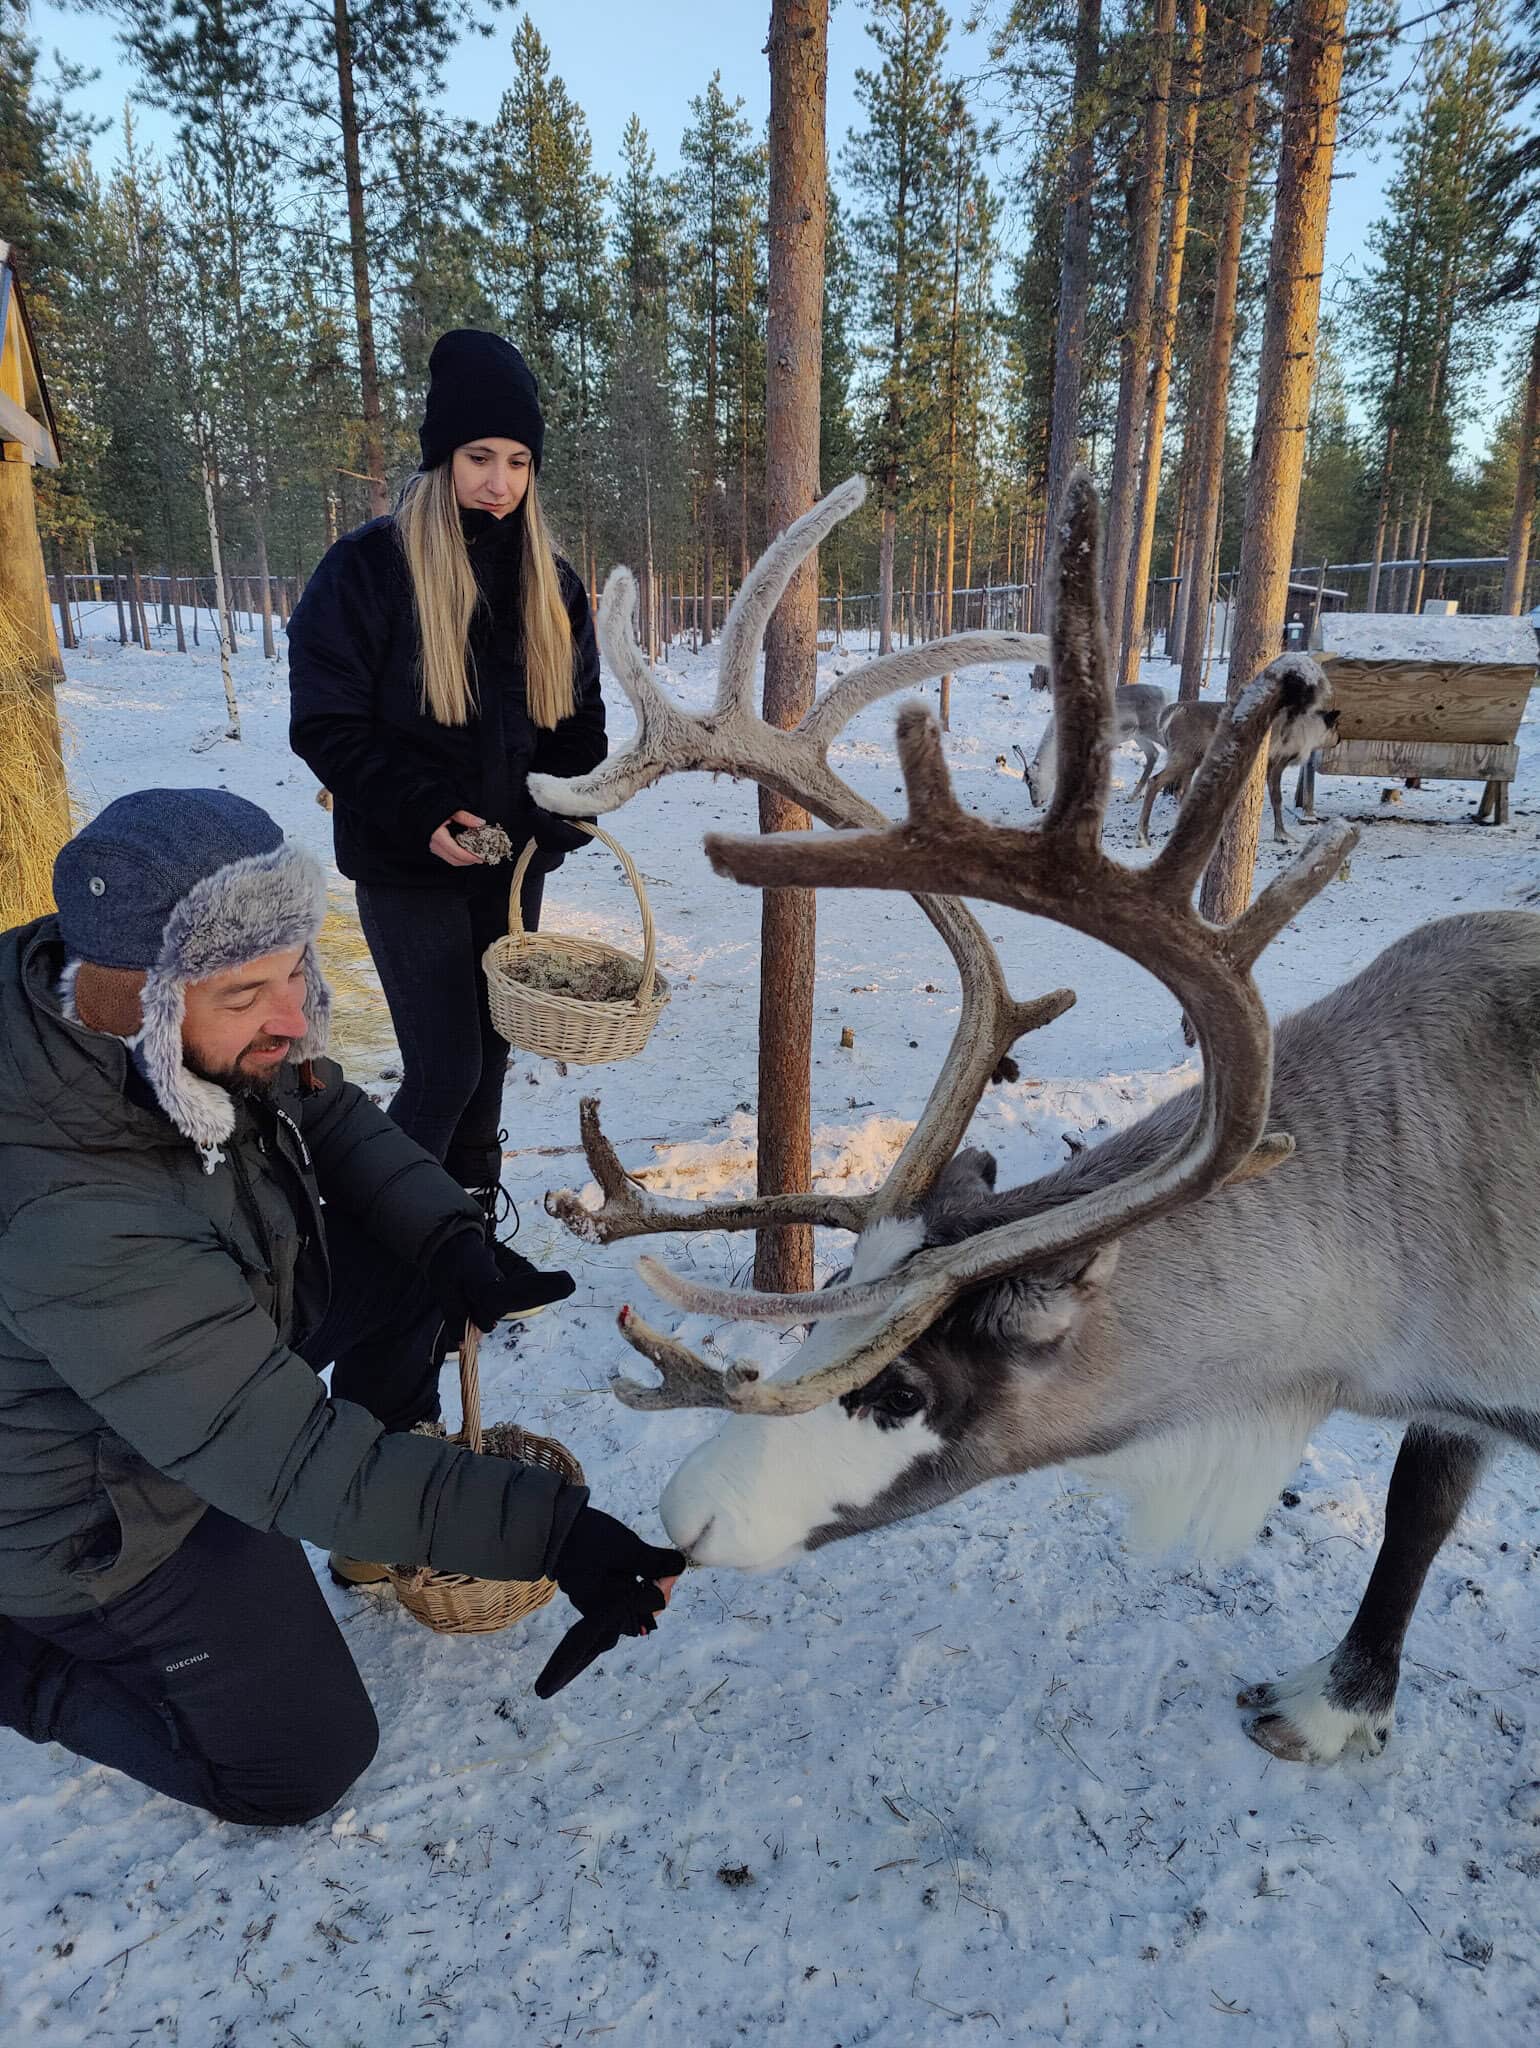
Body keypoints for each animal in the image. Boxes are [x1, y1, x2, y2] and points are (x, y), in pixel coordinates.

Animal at [1137, 697, 1341, 850]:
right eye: (1336, 726)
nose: (1339, 740)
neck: (1306, 732)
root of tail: (1170, 713)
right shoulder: (1275, 763)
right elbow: (1277, 799)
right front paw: (1282, 835)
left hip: (1194, 758)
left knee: (1181, 790)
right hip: (1185, 756)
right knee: (1155, 782)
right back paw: (1143, 837)